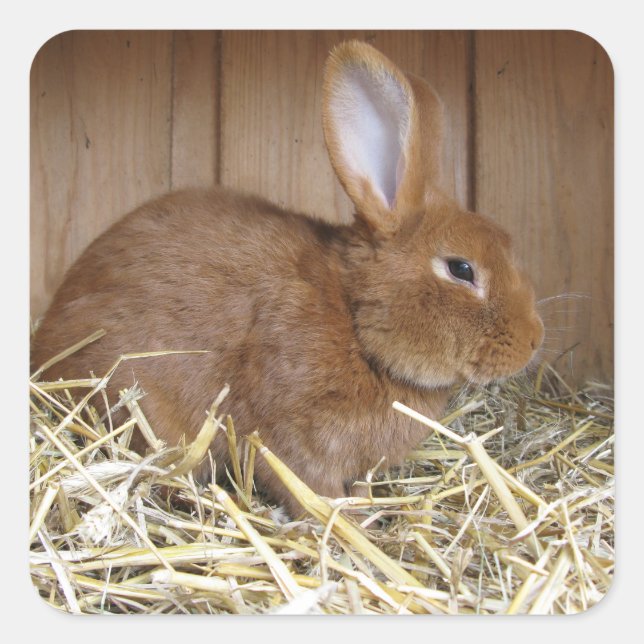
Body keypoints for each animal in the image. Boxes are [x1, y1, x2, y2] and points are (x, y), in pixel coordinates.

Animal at [31, 40, 544, 517]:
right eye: (461, 269)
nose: (534, 340)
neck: (353, 315)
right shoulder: (289, 433)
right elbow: (305, 483)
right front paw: (344, 520)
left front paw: (364, 506)